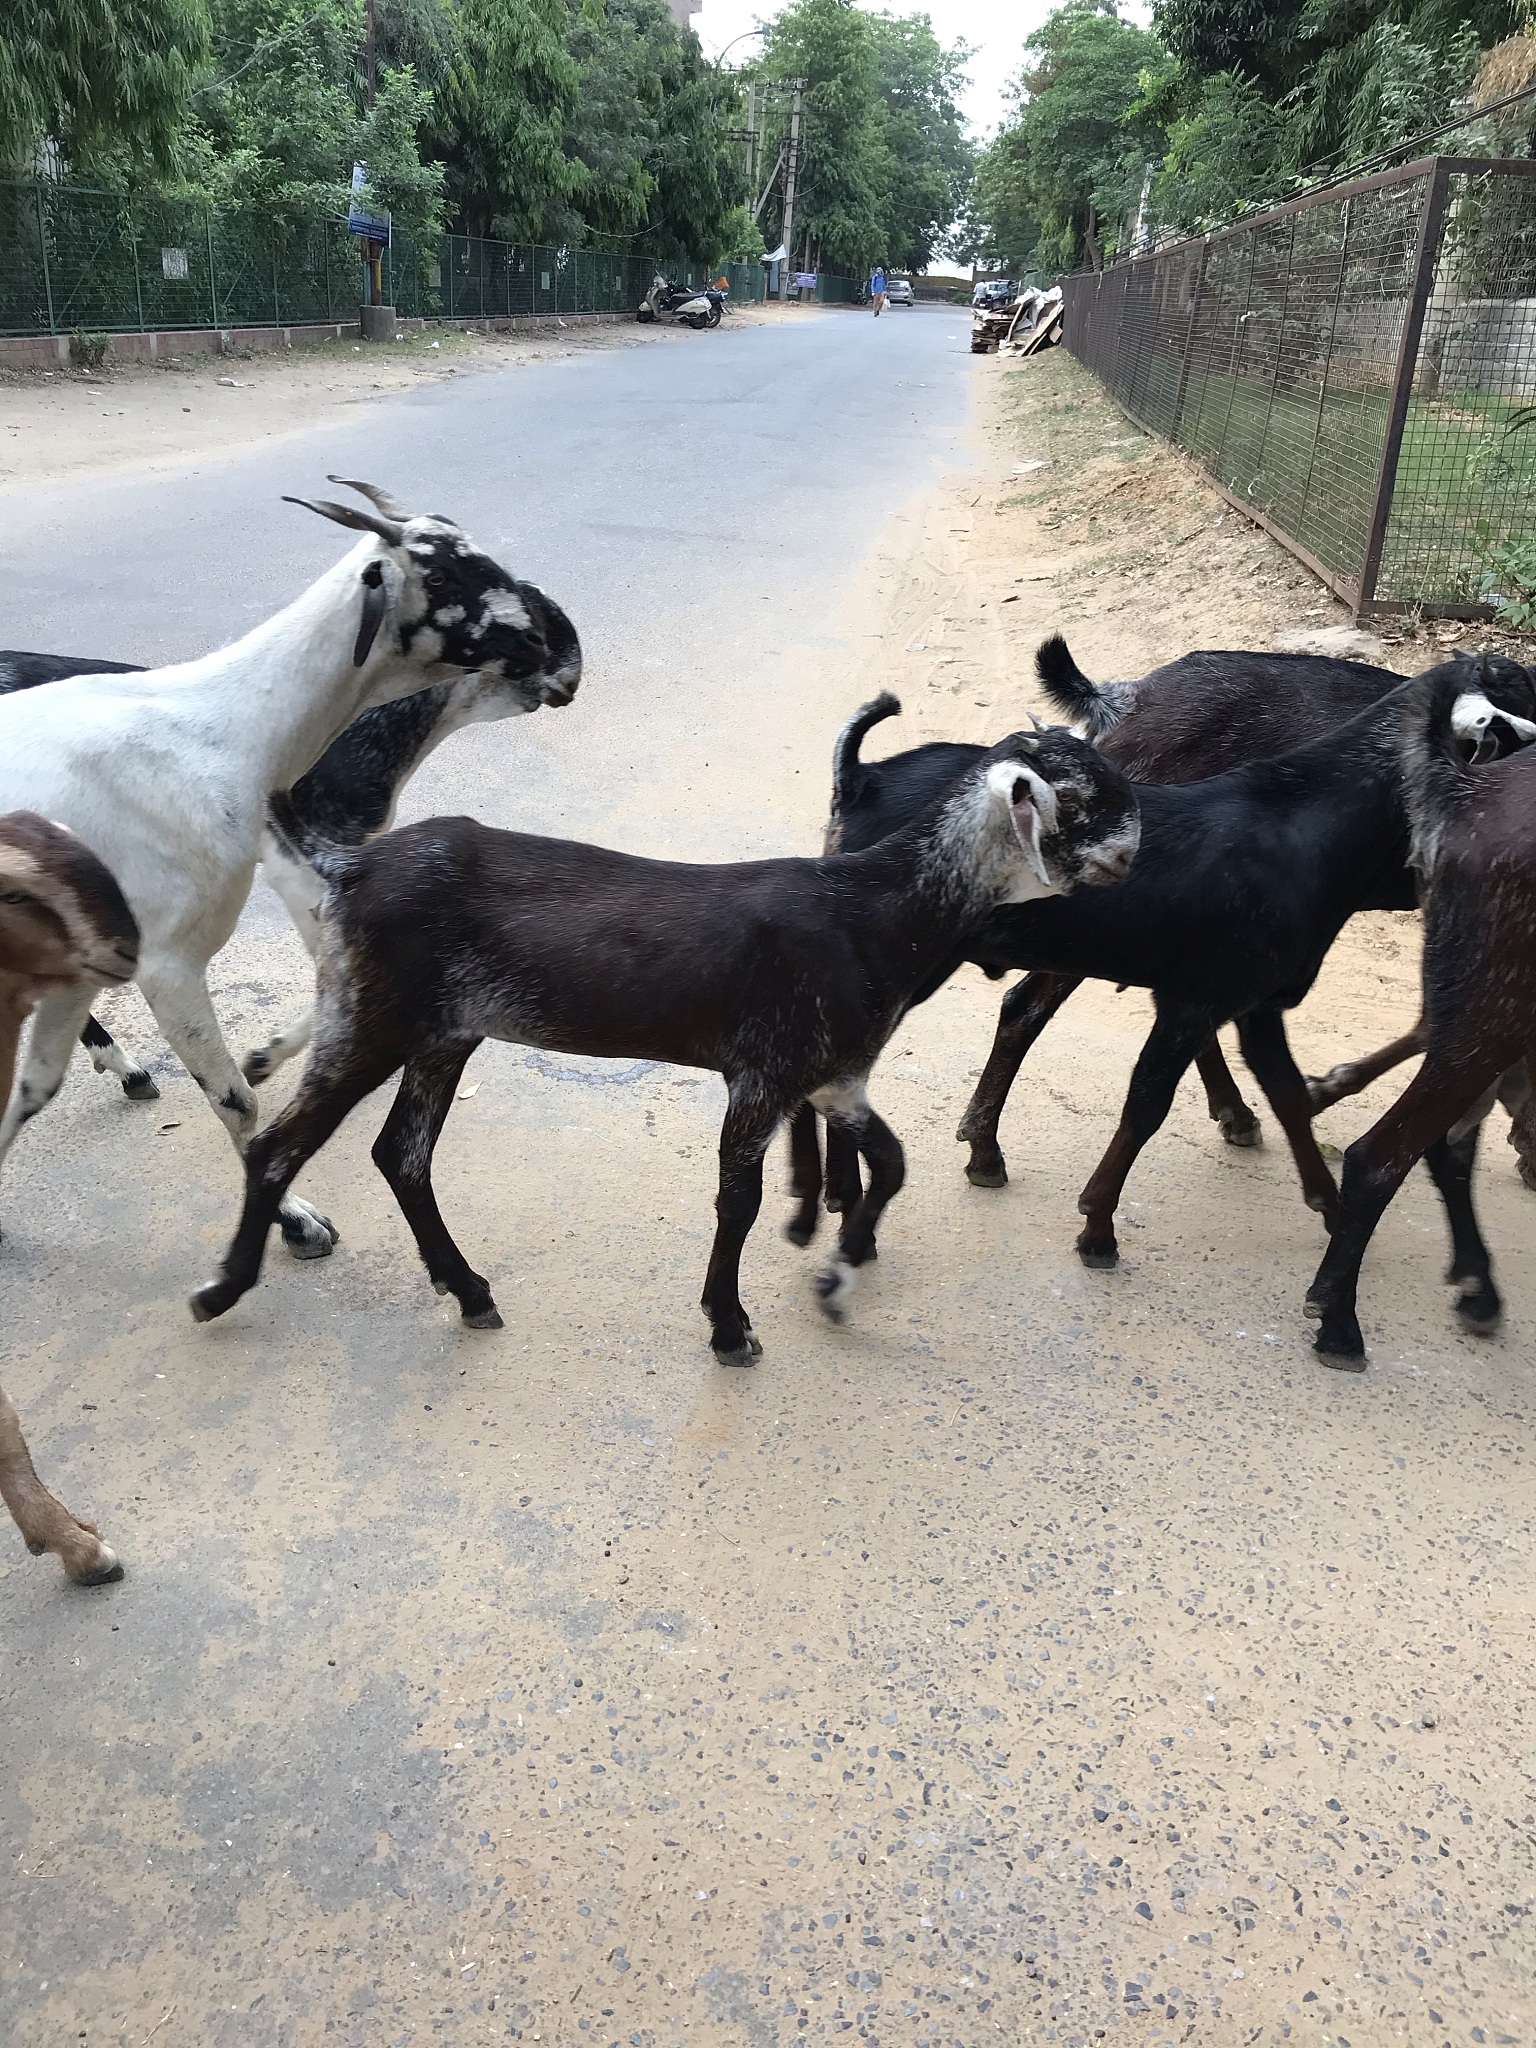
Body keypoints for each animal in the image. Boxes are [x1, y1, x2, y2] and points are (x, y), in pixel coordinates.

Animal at [187, 729, 1141, 1363]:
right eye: (1082, 799)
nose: (1135, 857)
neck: (871, 909)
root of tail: (351, 866)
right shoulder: (765, 1072)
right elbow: (738, 1201)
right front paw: (731, 1326)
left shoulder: (832, 1076)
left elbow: (893, 1164)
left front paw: (836, 1283)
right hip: (374, 1016)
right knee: (279, 1146)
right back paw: (223, 1287)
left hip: (445, 1032)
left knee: (402, 1154)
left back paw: (471, 1293)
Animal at [810, 656, 1536, 1275]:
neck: (1306, 822)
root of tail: (864, 778)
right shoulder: (1195, 1002)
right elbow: (1146, 1106)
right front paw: (1097, 1225)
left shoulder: (1254, 1002)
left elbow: (1288, 1094)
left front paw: (1329, 1203)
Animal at [1305, 670, 1536, 1363]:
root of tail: (1466, 794)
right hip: (1496, 1007)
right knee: (1382, 1155)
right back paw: (1339, 1320)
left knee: (1445, 1141)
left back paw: (1479, 1289)